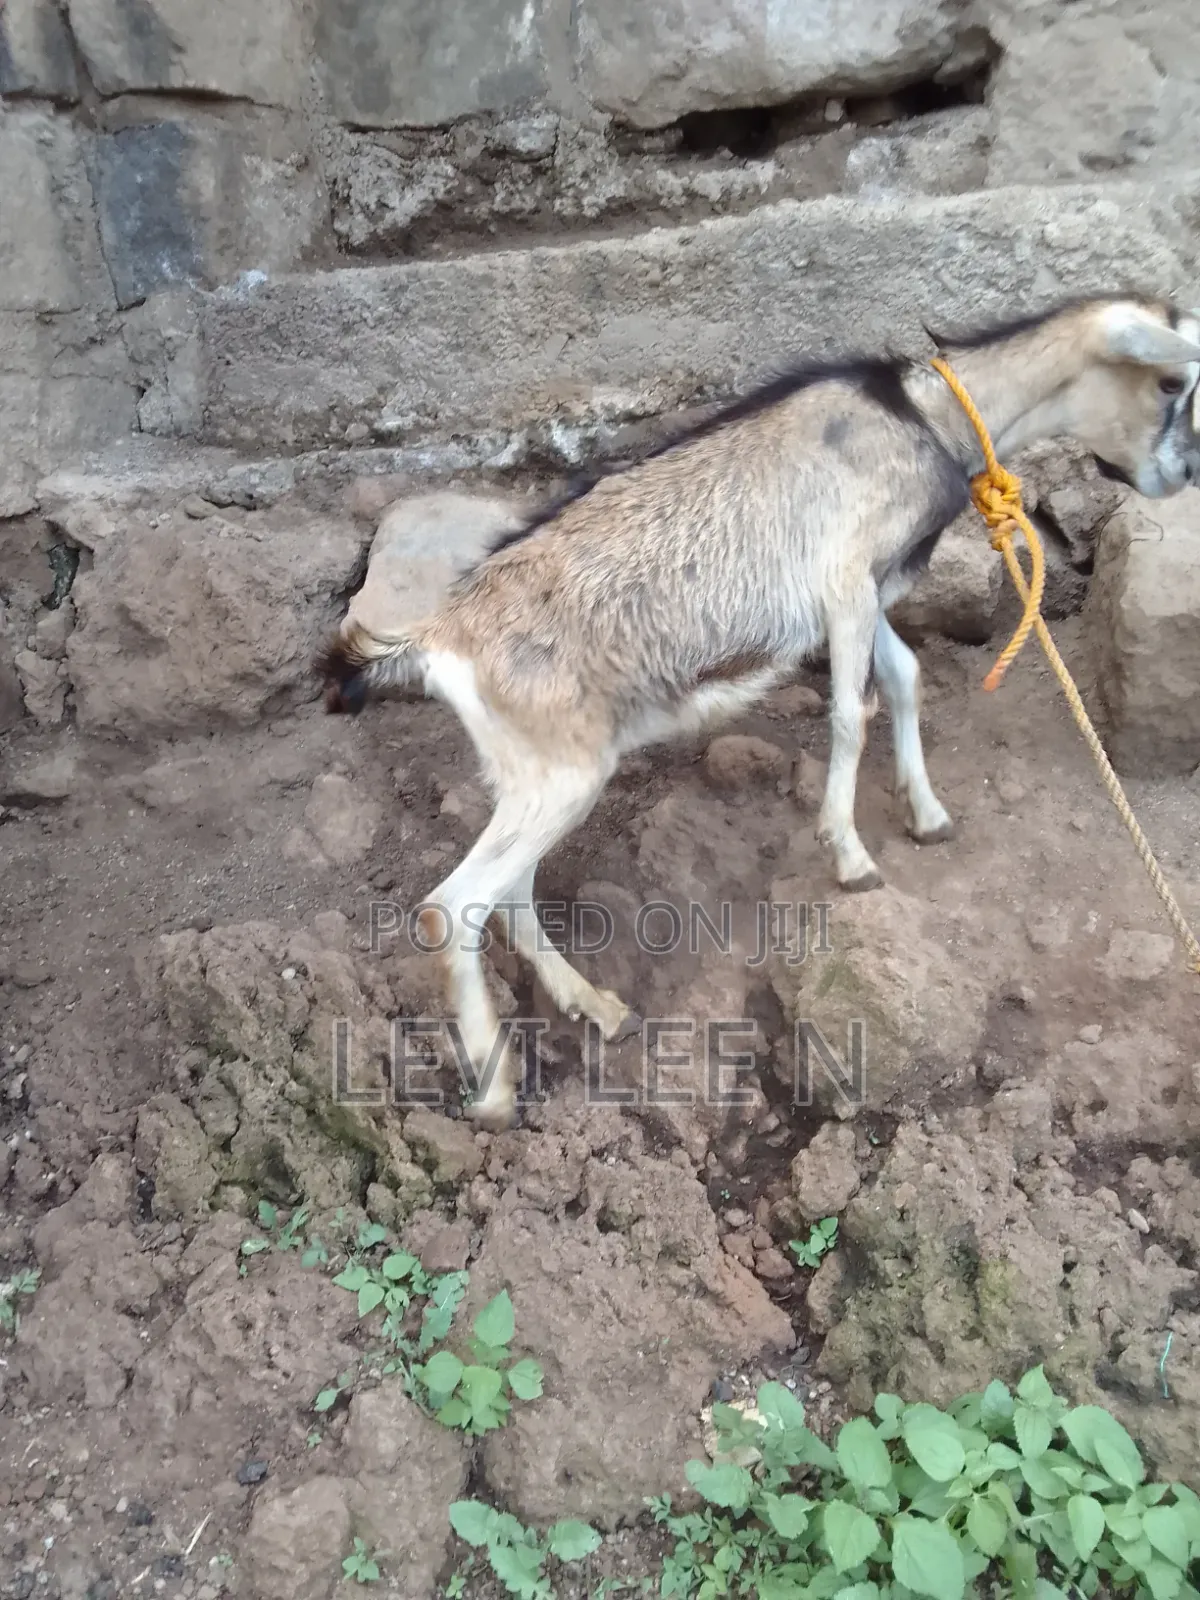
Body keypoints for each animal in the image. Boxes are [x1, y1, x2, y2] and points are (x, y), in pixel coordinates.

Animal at [318, 294, 1200, 1131]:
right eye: (1170, 382)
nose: (1183, 472)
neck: (923, 417)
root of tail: (436, 641)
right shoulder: (845, 581)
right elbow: (850, 712)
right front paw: (850, 854)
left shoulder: (867, 591)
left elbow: (905, 677)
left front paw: (926, 813)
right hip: (560, 777)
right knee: (451, 908)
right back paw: (497, 1089)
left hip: (532, 777)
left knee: (509, 897)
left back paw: (597, 1007)